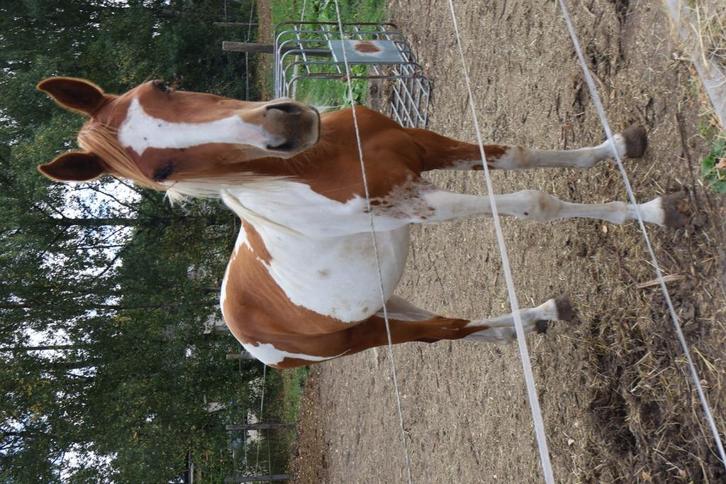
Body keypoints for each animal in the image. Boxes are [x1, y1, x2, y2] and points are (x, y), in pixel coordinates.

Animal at [36, 77, 686, 368]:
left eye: (161, 87)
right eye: (160, 173)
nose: (285, 124)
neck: (320, 162)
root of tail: (238, 329)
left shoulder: (422, 146)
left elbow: (520, 157)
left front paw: (619, 147)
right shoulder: (417, 202)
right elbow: (533, 199)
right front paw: (654, 211)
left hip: (384, 303)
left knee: (448, 323)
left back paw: (530, 322)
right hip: (364, 335)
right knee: (443, 331)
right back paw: (541, 314)